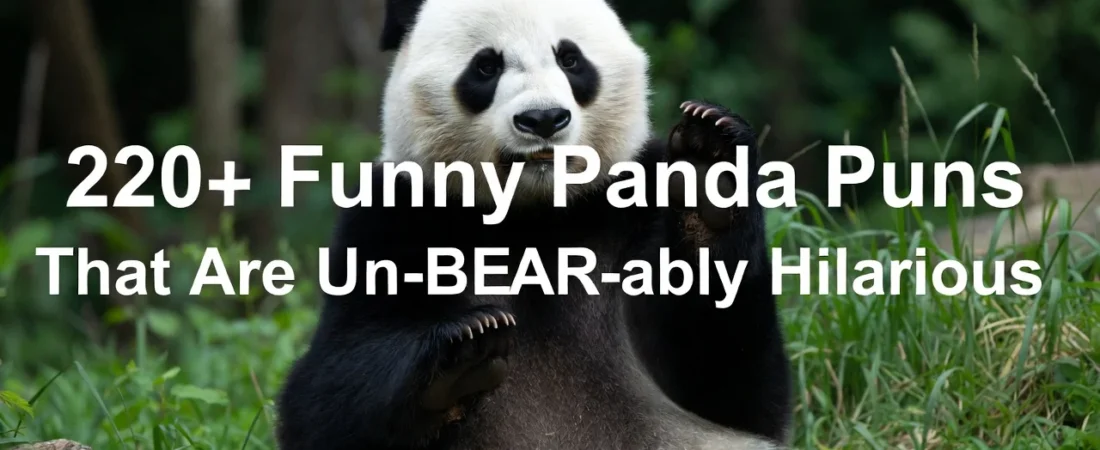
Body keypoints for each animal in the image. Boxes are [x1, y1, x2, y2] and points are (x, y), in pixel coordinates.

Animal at [274, 0, 792, 448]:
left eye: (570, 59)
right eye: (486, 66)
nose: (543, 119)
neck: (533, 214)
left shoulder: (630, 203)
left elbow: (736, 387)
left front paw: (710, 164)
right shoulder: (392, 219)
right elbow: (322, 398)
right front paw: (462, 353)